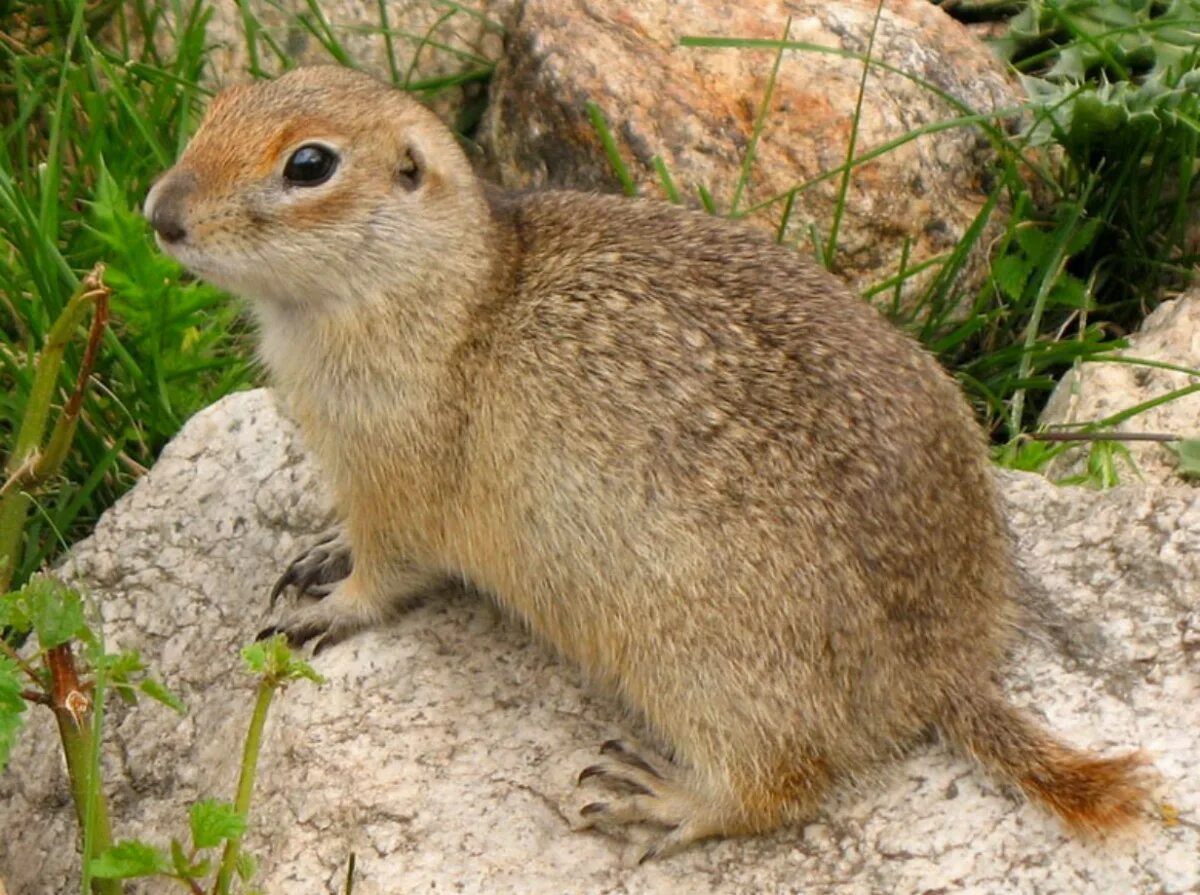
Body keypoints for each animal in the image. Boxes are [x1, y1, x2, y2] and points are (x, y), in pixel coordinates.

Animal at [145, 64, 1147, 859]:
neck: (457, 282)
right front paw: (317, 549)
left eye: (309, 164)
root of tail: (949, 670)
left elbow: (389, 573)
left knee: (784, 785)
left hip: (705, 669)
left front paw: (326, 606)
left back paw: (662, 800)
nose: (159, 214)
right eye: (218, 102)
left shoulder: (395, 476)